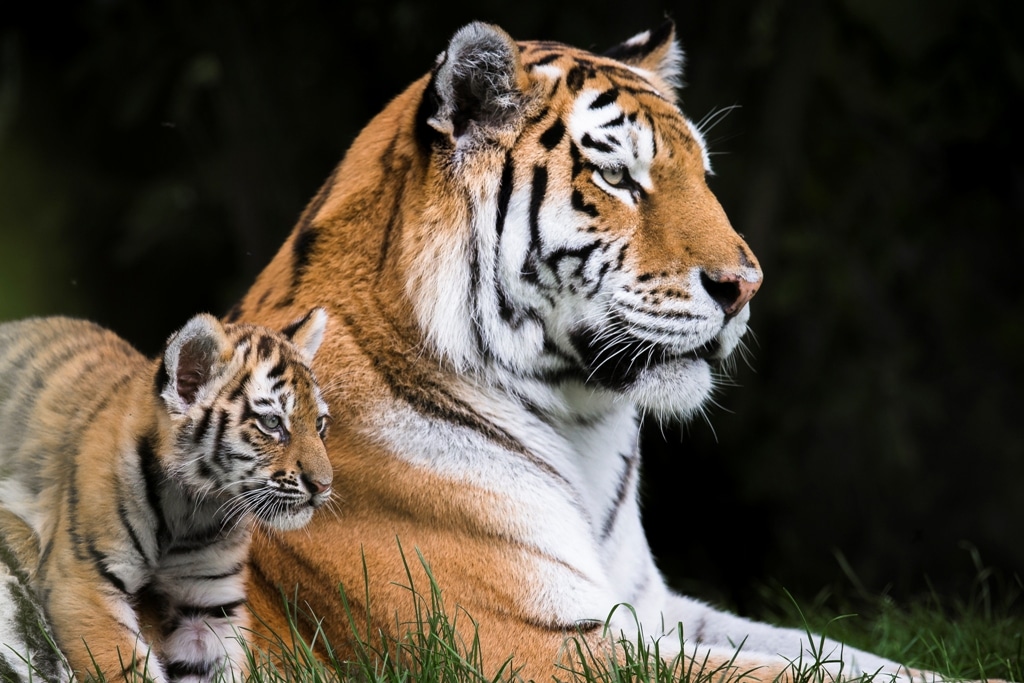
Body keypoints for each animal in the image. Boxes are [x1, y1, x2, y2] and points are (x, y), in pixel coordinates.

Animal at [228, 21, 925, 683]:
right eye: (617, 177)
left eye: (703, 178)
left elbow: (845, 655)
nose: (746, 286)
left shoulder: (651, 609)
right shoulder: (531, 643)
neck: (580, 423)